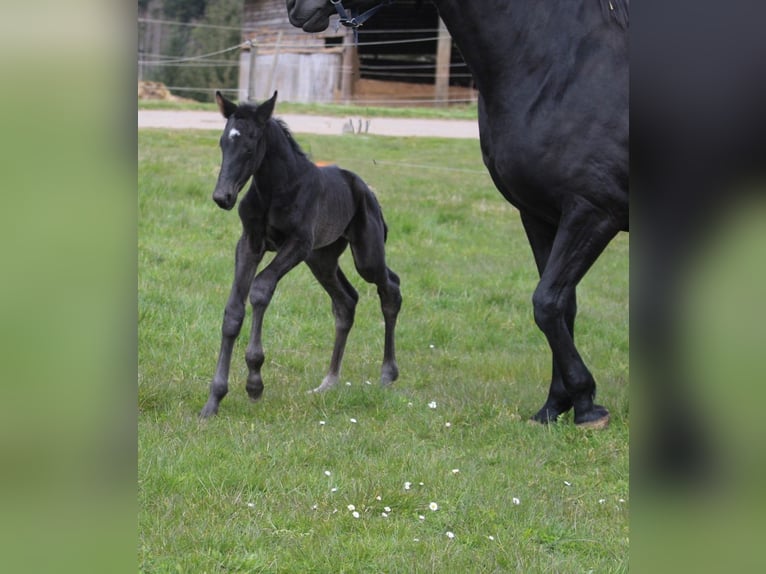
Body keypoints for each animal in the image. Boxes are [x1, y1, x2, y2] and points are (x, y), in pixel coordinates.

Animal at [199, 90, 402, 418]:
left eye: (251, 144)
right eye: (222, 143)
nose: (222, 197)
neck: (274, 189)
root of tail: (366, 190)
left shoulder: (298, 244)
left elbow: (260, 289)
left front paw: (254, 383)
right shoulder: (249, 243)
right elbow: (233, 311)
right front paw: (214, 400)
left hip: (365, 256)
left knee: (390, 289)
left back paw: (387, 373)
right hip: (322, 259)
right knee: (346, 302)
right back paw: (329, 382)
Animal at [285, 0, 629, 428]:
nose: (293, 8)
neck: (565, 64)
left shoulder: (592, 212)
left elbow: (547, 302)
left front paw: (585, 404)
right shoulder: (541, 216)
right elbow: (563, 307)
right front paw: (555, 404)